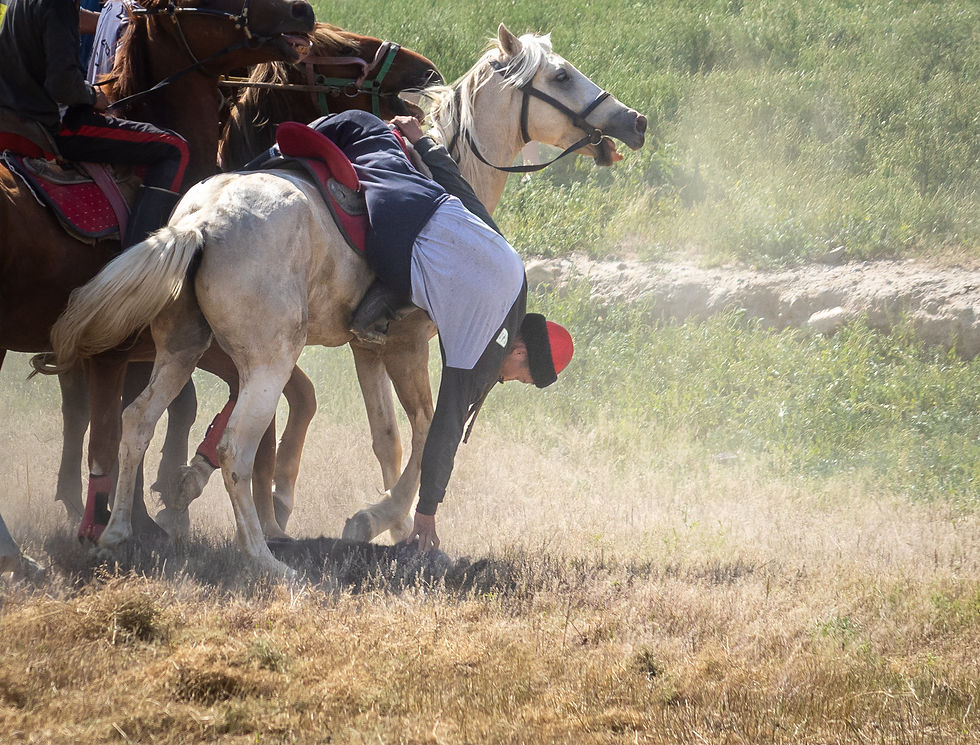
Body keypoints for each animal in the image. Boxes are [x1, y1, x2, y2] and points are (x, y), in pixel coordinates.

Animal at [51, 24, 646, 575]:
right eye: (561, 76)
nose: (634, 122)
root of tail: (202, 221)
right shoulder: (410, 344)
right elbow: (426, 432)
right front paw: (382, 519)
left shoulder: (368, 349)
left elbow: (388, 438)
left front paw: (393, 525)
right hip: (267, 363)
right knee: (235, 449)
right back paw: (263, 558)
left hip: (182, 349)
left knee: (137, 420)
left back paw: (119, 532)